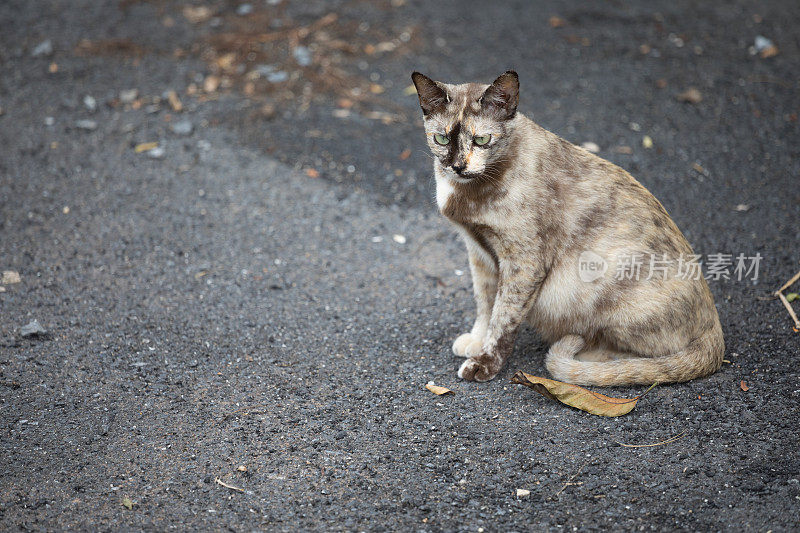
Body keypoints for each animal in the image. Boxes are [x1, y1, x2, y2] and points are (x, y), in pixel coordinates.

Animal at [412, 71, 724, 386]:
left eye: (481, 139)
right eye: (441, 138)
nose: (457, 166)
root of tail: (714, 326)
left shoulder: (523, 261)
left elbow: (503, 317)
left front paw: (485, 363)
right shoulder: (479, 253)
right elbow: (485, 303)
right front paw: (477, 340)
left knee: (643, 358)